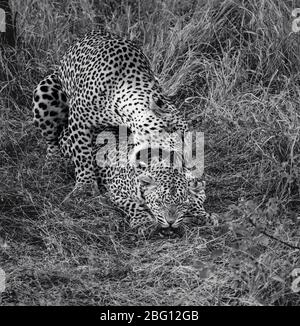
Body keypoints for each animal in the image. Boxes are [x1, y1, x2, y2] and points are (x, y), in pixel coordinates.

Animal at [32, 29, 189, 195]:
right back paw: (52, 163)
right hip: (45, 90)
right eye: (173, 130)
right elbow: (82, 153)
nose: (183, 159)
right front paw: (85, 185)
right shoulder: (78, 119)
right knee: (52, 141)